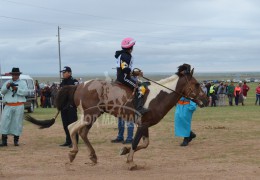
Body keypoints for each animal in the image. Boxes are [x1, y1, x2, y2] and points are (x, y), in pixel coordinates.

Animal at [25, 64, 207, 170]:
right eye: (197, 84)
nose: (205, 100)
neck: (157, 95)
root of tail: (79, 85)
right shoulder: (142, 124)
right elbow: (136, 143)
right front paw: (130, 160)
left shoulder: (144, 124)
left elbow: (145, 144)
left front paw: (124, 150)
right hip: (89, 115)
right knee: (72, 127)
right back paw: (73, 153)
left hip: (92, 116)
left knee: (81, 132)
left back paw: (92, 157)